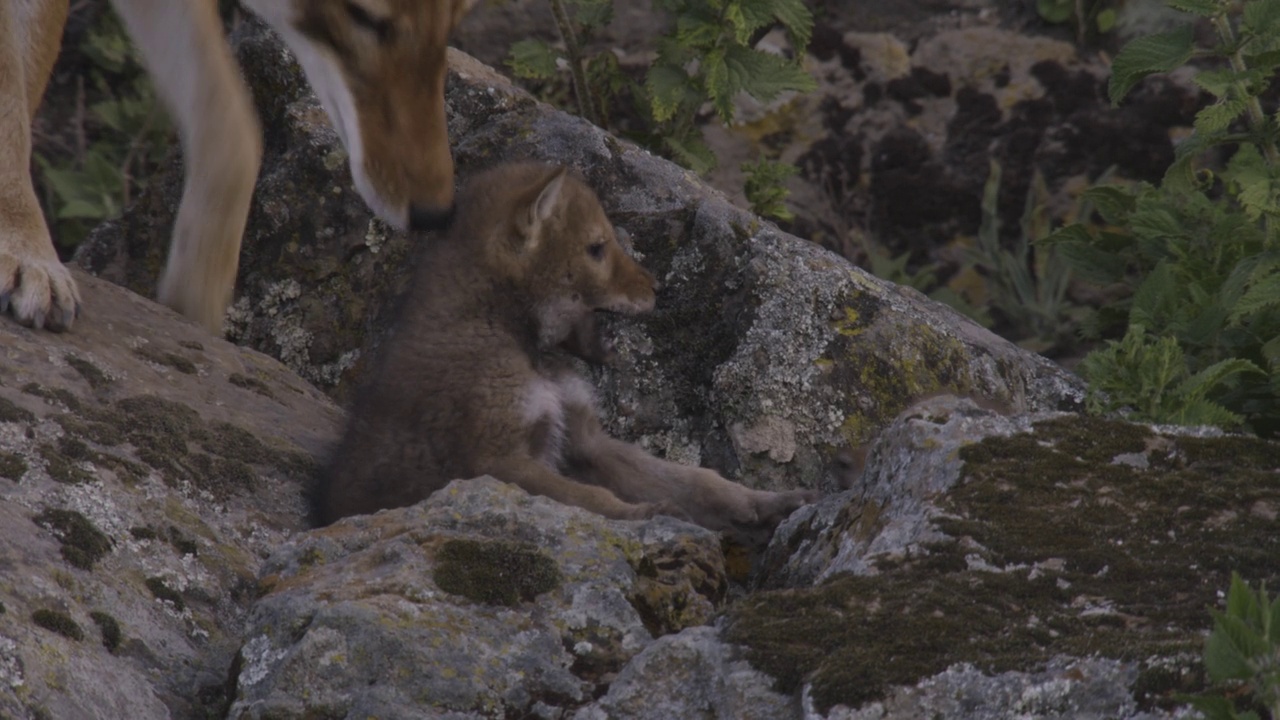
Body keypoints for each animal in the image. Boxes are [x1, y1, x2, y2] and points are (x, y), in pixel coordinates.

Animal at [0, 0, 476, 330]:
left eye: (459, 15)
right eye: (363, 16)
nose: (435, 214)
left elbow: (238, 139)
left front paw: (194, 303)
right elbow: (12, 110)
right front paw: (27, 255)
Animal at [320, 162, 819, 543]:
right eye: (596, 248)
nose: (658, 289)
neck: (515, 339)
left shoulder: (585, 441)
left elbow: (698, 480)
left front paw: (770, 503)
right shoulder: (495, 460)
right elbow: (591, 499)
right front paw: (645, 516)